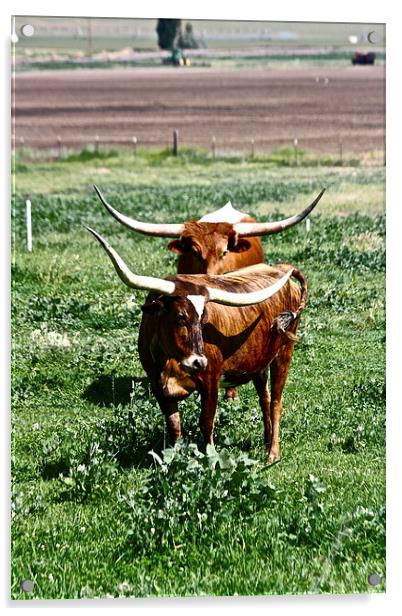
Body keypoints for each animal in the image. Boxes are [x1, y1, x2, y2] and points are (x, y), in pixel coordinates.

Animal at [87, 226, 308, 462]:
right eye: (179, 317)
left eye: (203, 320)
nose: (199, 362)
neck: (171, 361)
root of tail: (279, 268)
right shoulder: (157, 385)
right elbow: (174, 426)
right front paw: (173, 459)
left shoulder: (211, 381)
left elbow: (206, 423)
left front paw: (210, 457)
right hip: (259, 362)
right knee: (264, 398)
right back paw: (266, 442)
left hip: (285, 351)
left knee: (276, 401)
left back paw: (272, 453)